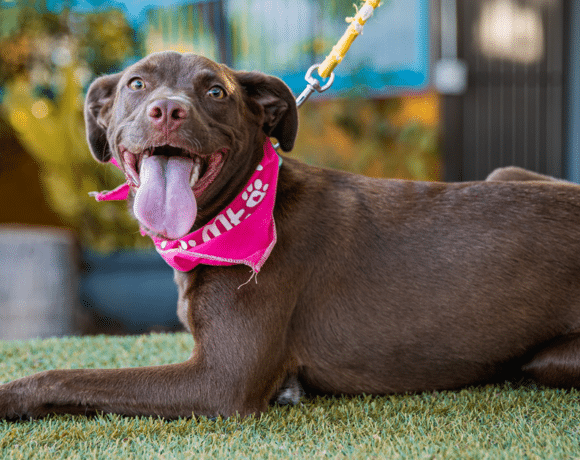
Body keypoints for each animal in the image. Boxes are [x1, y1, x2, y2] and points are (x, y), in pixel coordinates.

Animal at [1, 51, 580, 420]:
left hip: (549, 359)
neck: (236, 214)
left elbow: (68, 374)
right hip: (506, 174)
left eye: (216, 90)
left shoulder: (219, 381)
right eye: (136, 85)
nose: (168, 110)